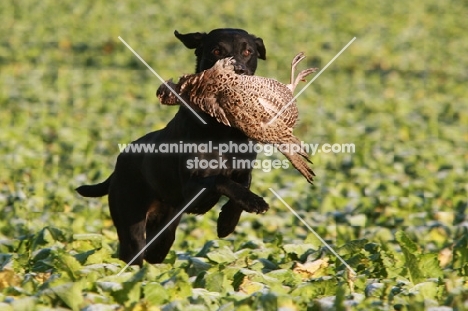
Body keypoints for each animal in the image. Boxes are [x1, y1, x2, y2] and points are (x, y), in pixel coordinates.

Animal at [76, 28, 266, 266]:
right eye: (217, 50)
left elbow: (243, 184)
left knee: (157, 249)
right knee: (133, 254)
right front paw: (243, 205)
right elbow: (219, 180)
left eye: (248, 51)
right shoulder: (192, 187)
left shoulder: (242, 169)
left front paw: (228, 221)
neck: (222, 129)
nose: (238, 71)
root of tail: (118, 166)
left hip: (164, 228)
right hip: (131, 223)